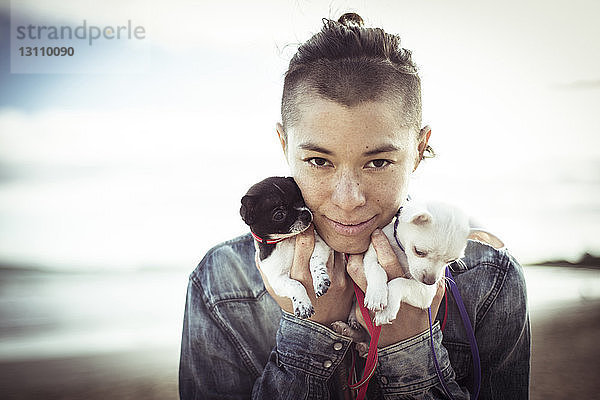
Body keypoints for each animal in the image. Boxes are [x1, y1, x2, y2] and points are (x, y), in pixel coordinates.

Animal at [240, 177, 332, 318]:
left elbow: (314, 261)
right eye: (279, 215)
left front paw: (320, 280)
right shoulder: (277, 279)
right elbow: (296, 284)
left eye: (301, 199)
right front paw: (303, 305)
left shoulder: (320, 244)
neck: (286, 240)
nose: (306, 214)